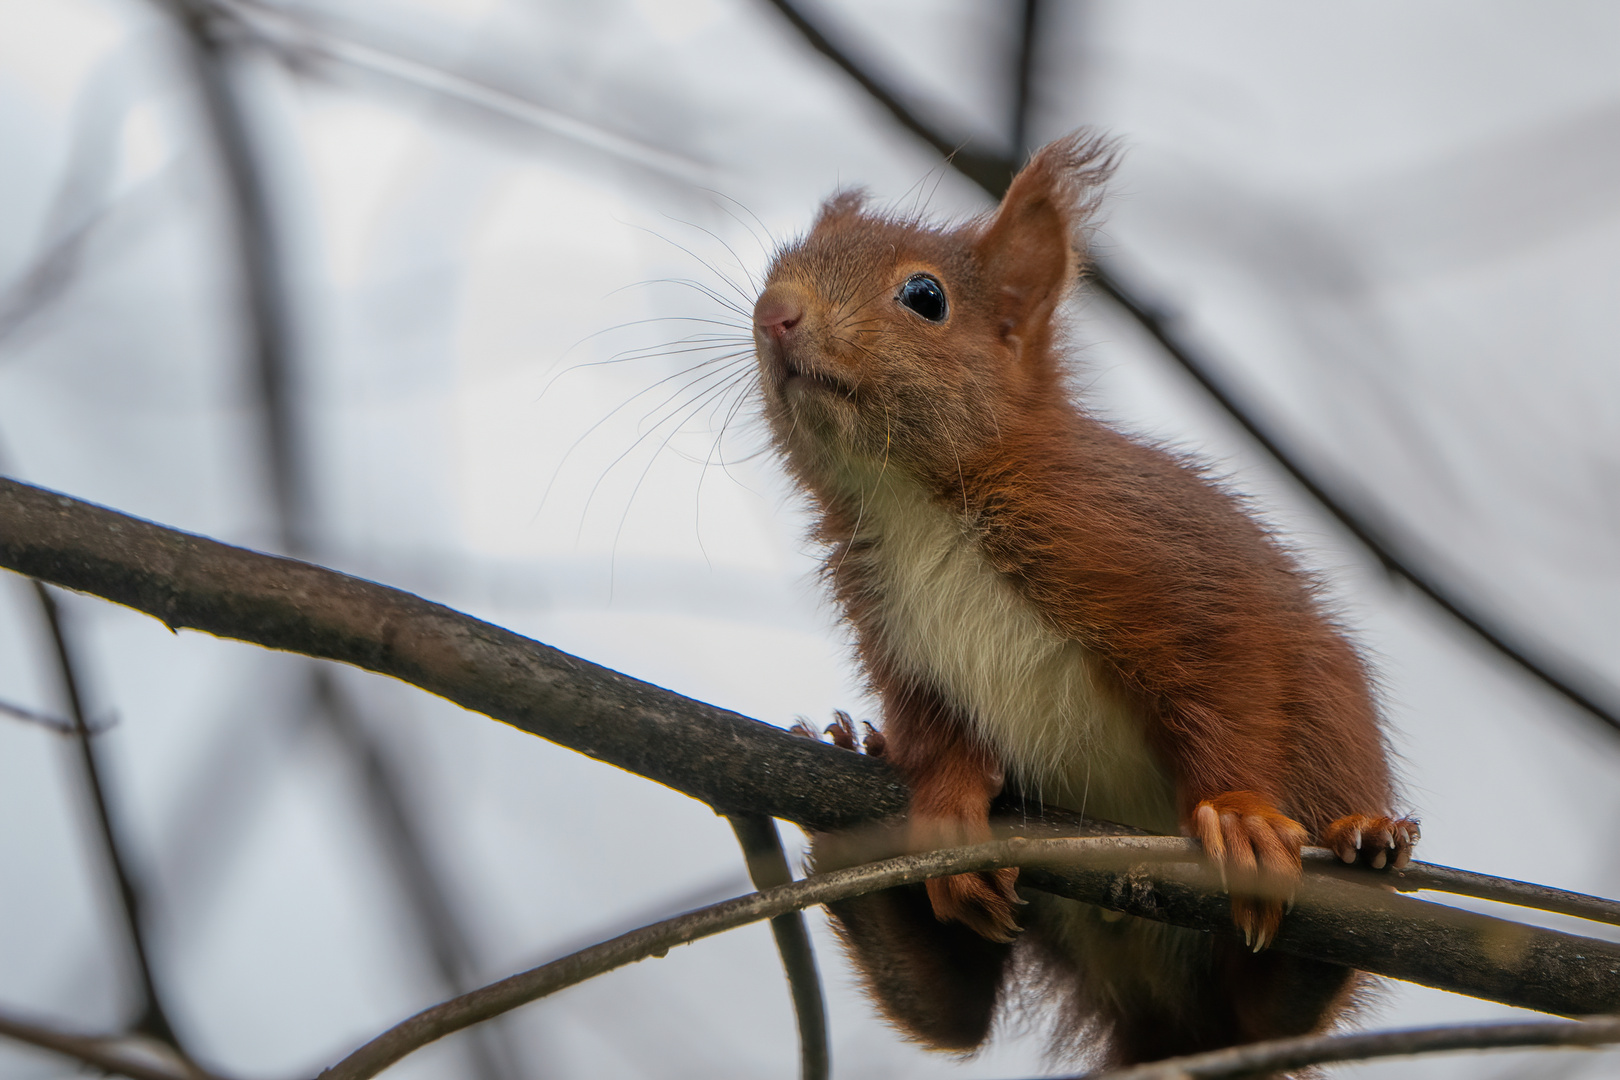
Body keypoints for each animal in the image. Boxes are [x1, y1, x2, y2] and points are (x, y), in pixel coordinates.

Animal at [745, 132, 1419, 1062]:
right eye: (778, 267)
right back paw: (855, 852)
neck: (912, 497)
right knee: (956, 1015)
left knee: (1273, 1012)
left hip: (1329, 735)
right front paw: (946, 802)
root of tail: (1168, 1025)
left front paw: (1240, 813)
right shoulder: (891, 626)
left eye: (925, 297)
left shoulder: (1149, 557)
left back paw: (1362, 850)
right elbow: (934, 723)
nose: (774, 312)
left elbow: (1231, 671)